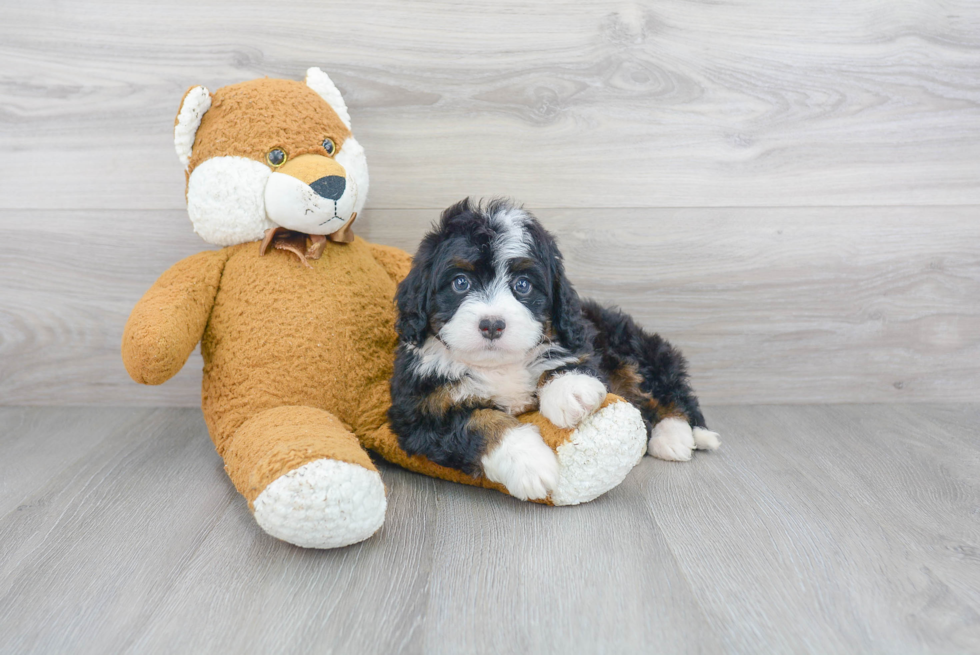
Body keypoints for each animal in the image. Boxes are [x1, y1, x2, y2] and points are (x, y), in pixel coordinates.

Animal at [390, 197, 720, 500]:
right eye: (460, 283)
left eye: (523, 285)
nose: (492, 325)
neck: (499, 365)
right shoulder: (418, 413)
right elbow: (479, 422)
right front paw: (529, 463)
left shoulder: (582, 342)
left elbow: (567, 361)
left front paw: (571, 392)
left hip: (631, 347)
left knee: (666, 390)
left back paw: (676, 436)